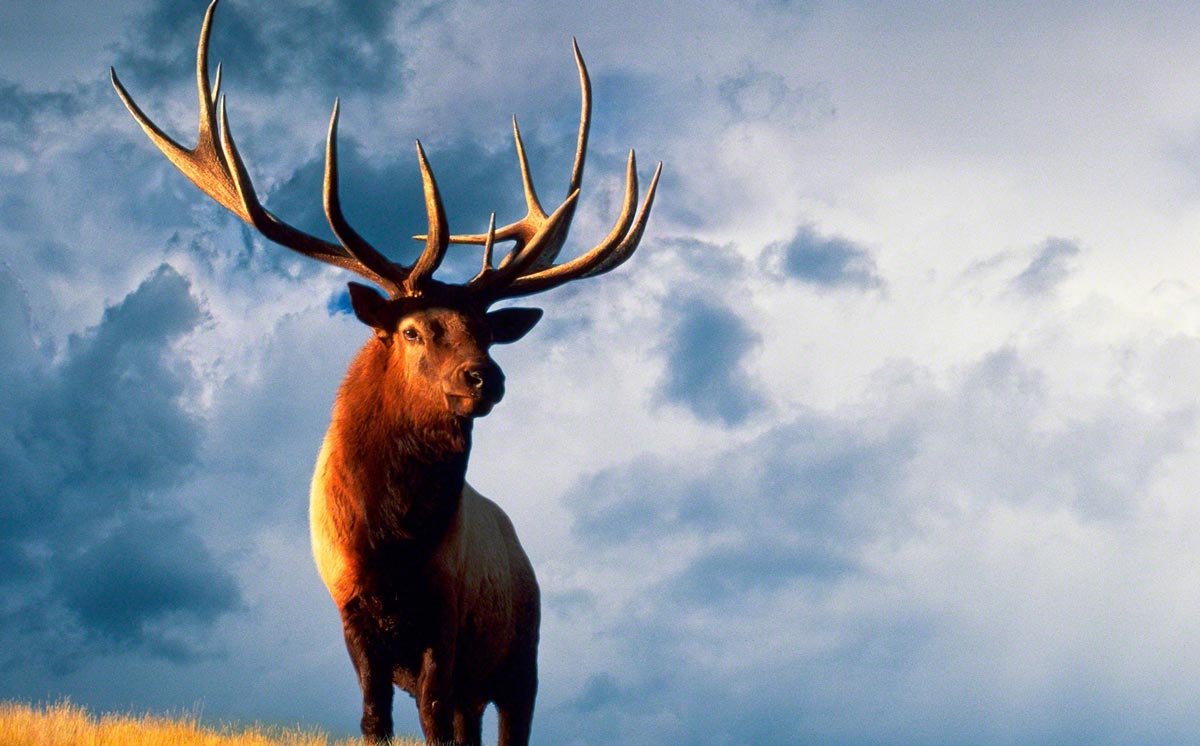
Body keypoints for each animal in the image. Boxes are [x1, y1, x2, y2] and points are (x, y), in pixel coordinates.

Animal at [110, 1, 659, 744]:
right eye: (412, 330)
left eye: (488, 331)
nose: (485, 379)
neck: (394, 548)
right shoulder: (352, 610)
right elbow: (376, 719)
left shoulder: (447, 619)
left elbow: (433, 721)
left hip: (521, 659)